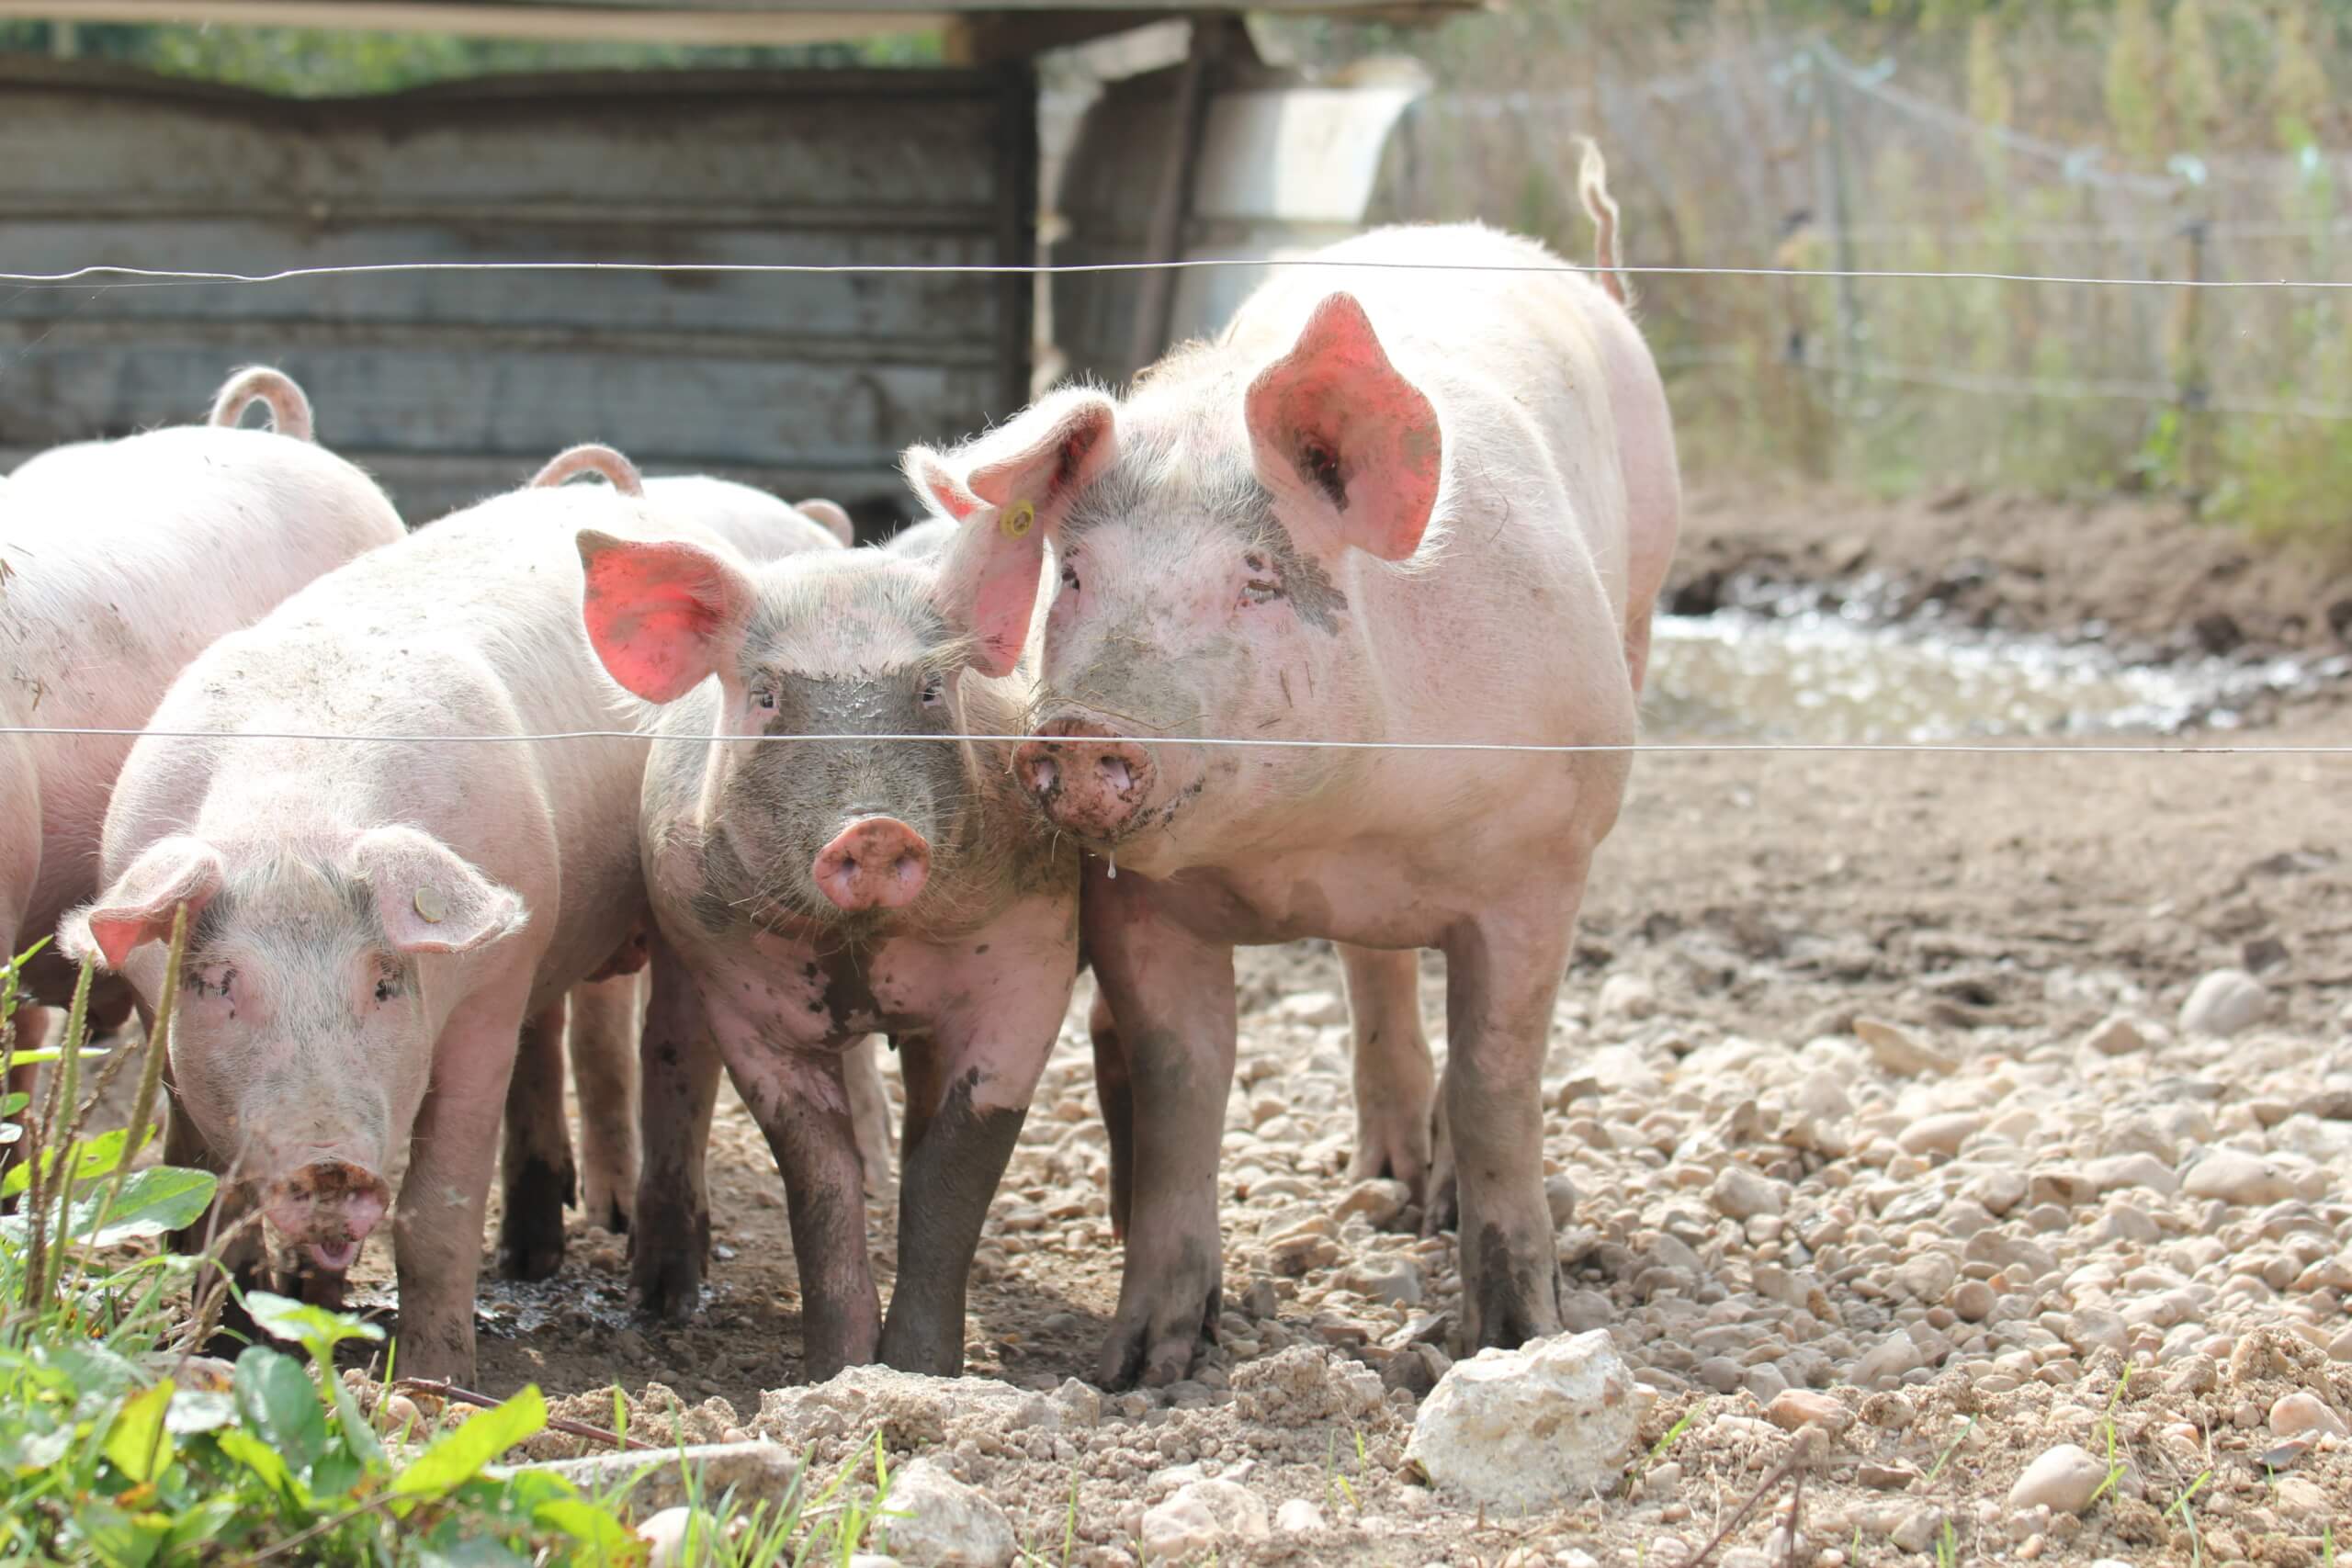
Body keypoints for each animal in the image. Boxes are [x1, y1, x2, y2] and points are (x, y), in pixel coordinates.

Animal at [578, 463, 1077, 1372]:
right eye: (768, 694)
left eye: (928, 689)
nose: (872, 828)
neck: (863, 944)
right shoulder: (741, 990)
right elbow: (817, 1178)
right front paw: (838, 1371)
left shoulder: (1034, 961)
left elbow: (955, 1169)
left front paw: (918, 1371)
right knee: (672, 1059)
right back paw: (663, 1297)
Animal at [908, 146, 1683, 1382]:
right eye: (1073, 575)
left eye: (1259, 579)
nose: (1079, 730)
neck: (1326, 838)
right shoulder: (1139, 903)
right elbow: (1186, 1085)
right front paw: (1140, 1368)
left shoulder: (1544, 857)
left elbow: (1498, 1077)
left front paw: (1514, 1341)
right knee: (1374, 973)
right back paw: (1380, 1178)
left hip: (1645, 602)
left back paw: (1429, 1203)